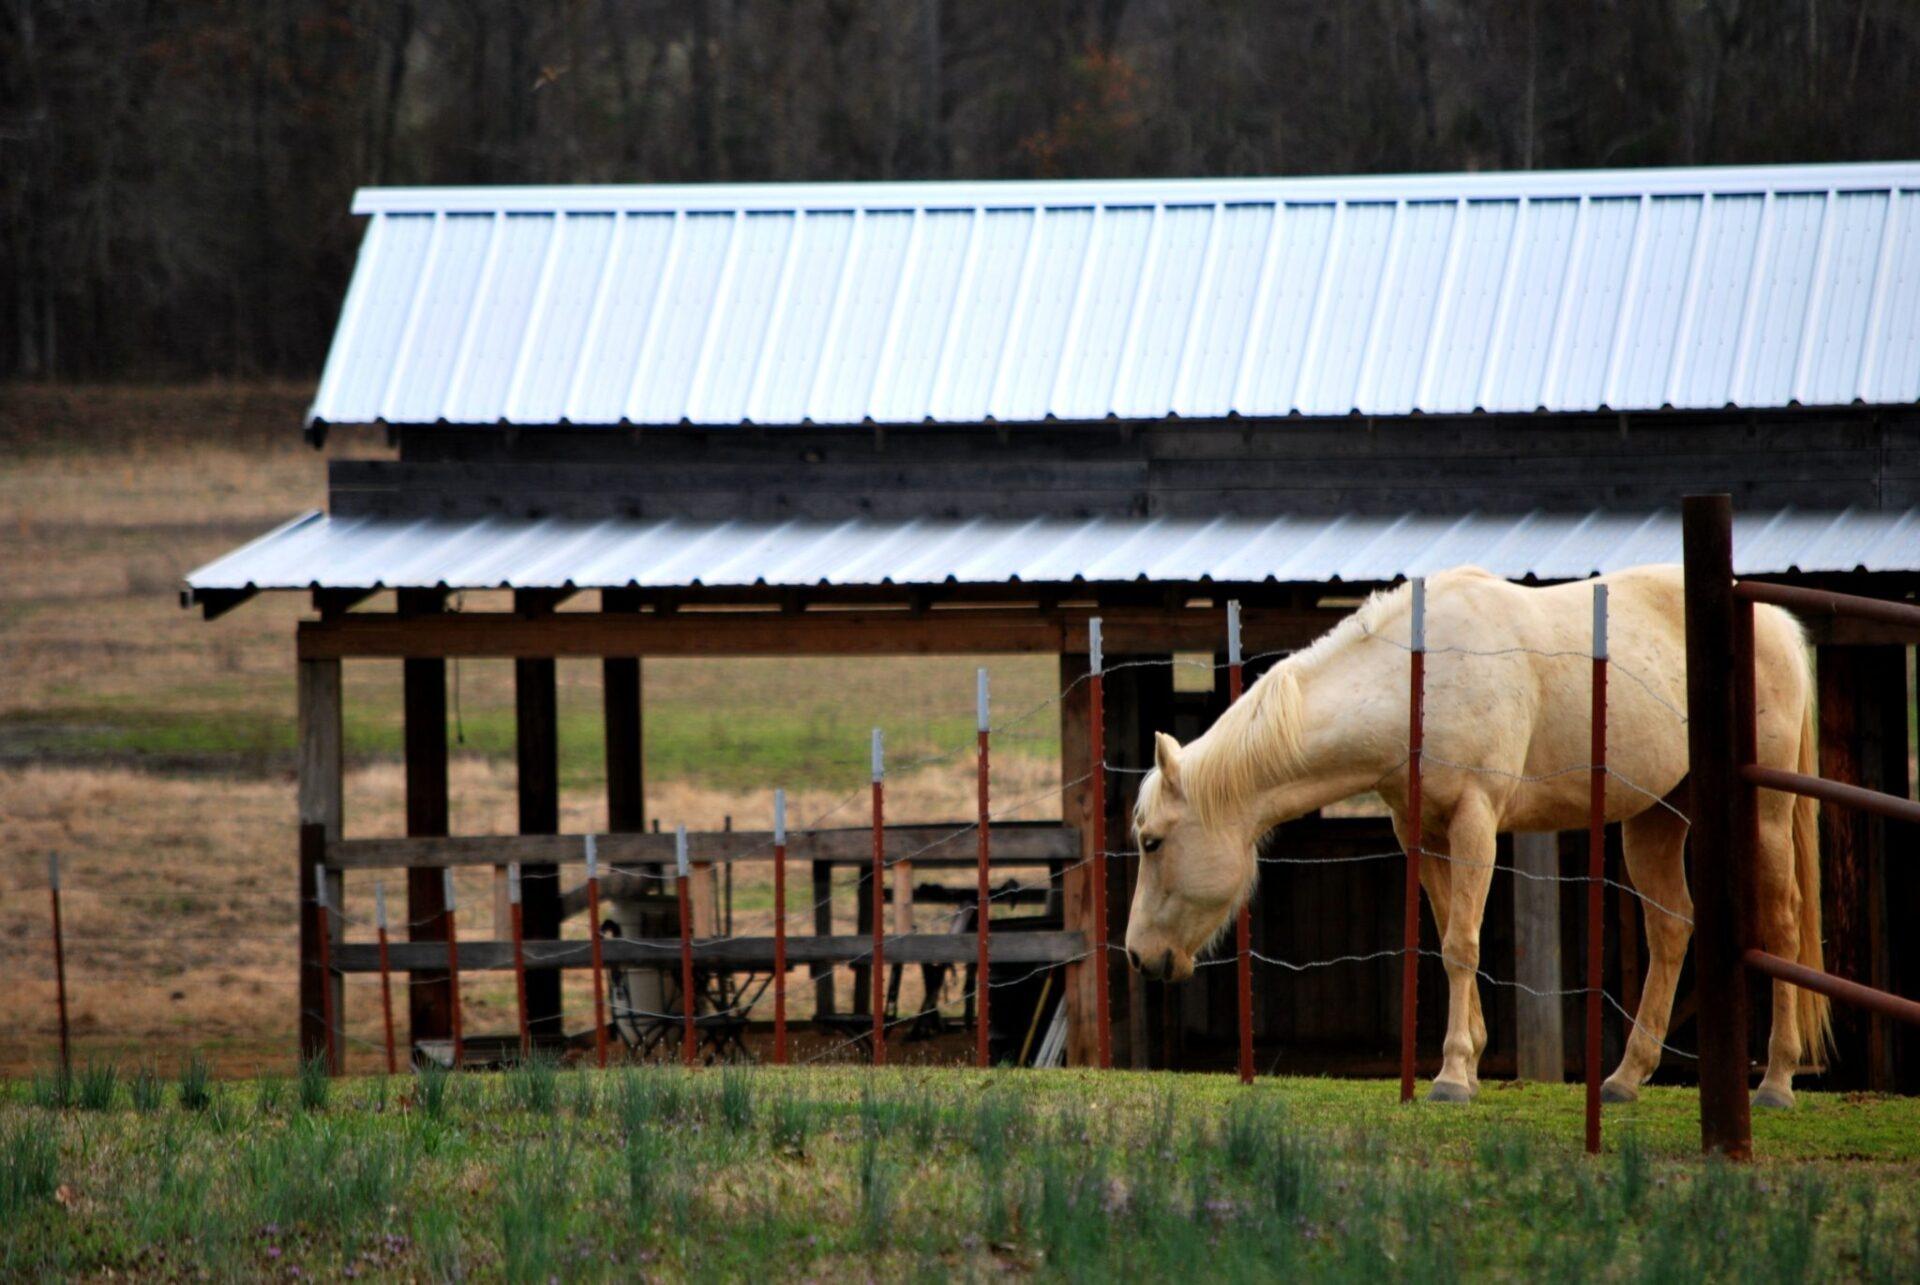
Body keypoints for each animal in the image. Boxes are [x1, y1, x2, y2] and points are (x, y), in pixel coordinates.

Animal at [1125, 564, 1830, 1108]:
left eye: (1152, 841)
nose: (1137, 956)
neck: (1418, 681)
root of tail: (1774, 621)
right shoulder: (1424, 834)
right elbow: (1446, 941)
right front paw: (1468, 1060)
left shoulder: (1475, 822)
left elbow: (1463, 944)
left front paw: (1452, 1077)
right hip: (1655, 818)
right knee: (1671, 927)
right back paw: (1626, 1079)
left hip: (1767, 814)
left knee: (1781, 924)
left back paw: (1775, 1083)